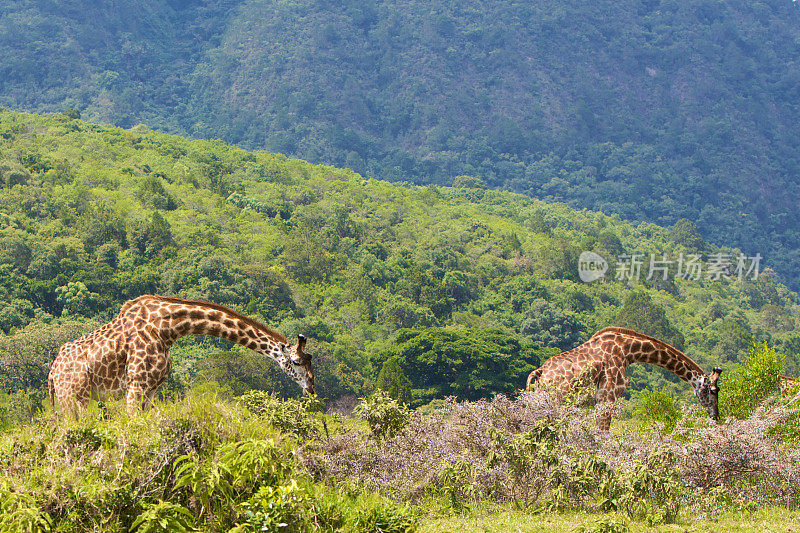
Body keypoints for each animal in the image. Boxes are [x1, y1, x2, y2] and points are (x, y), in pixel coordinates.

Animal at [47, 296, 318, 416]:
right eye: (296, 362)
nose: (312, 390)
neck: (168, 328)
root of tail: (51, 373)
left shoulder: (152, 388)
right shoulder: (136, 385)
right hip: (74, 397)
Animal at [528, 326, 720, 430]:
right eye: (713, 390)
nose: (715, 416)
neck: (628, 351)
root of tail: (540, 372)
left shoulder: (602, 399)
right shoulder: (607, 396)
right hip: (556, 401)